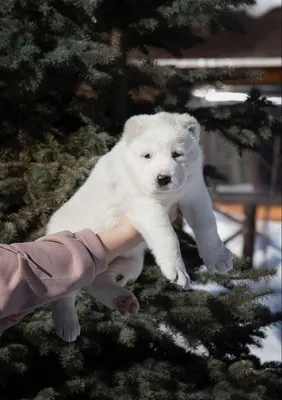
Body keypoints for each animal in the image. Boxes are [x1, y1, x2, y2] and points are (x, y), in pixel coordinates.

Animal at [46, 111, 232, 340]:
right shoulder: (145, 205)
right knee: (64, 295)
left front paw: (218, 257)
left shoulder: (194, 193)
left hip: (130, 262)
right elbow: (167, 234)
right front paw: (178, 271)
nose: (163, 178)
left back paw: (123, 300)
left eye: (177, 154)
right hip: (71, 259)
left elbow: (207, 224)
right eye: (147, 156)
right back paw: (68, 325)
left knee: (97, 281)